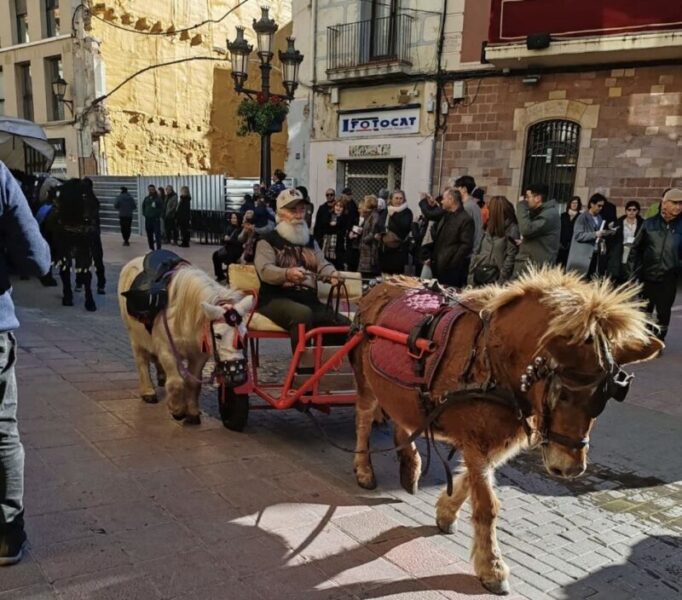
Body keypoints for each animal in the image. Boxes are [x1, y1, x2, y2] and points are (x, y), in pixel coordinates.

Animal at [118, 255, 254, 424]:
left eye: (245, 335)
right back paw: (148, 392)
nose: (238, 377)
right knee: (141, 360)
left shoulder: (199, 355)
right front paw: (177, 410)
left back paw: (161, 376)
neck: (185, 315)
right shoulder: (167, 350)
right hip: (135, 337)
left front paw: (192, 412)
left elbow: (193, 382)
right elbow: (177, 382)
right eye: (218, 335)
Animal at [350, 268, 660, 596]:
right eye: (562, 394)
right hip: (365, 382)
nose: (570, 468)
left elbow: (470, 483)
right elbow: (487, 504)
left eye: (604, 398)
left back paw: (410, 465)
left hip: (399, 391)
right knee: (364, 419)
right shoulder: (478, 442)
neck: (493, 358)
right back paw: (364, 469)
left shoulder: (496, 442)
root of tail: (381, 281)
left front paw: (446, 512)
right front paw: (492, 568)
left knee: (402, 416)